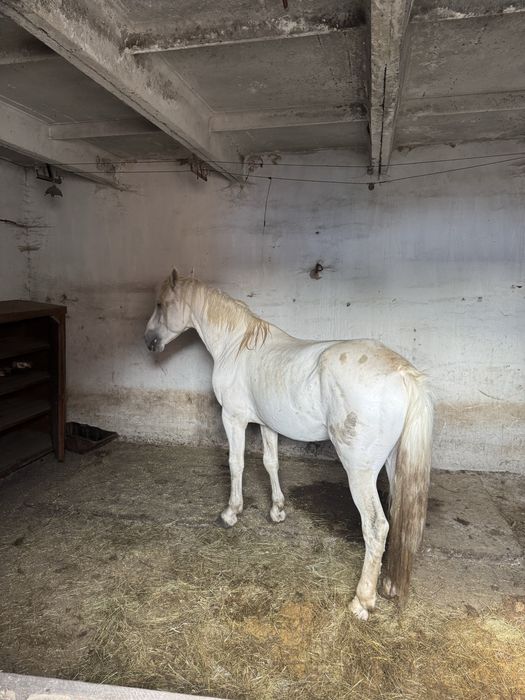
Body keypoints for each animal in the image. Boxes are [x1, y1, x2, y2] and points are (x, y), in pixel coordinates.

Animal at [144, 270, 433, 620]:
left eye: (161, 304)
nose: (148, 341)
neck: (236, 346)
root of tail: (403, 373)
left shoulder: (234, 419)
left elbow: (236, 463)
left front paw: (231, 513)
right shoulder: (268, 424)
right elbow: (271, 463)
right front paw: (277, 510)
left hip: (360, 471)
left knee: (377, 526)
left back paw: (362, 601)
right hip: (393, 463)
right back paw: (389, 584)